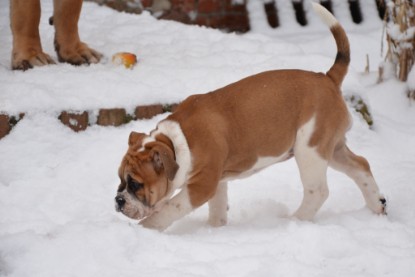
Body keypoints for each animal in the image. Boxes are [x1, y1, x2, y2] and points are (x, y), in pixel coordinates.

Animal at [114, 3, 386, 230]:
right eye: (120, 179)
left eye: (135, 183)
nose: (118, 200)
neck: (176, 143)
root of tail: (327, 78)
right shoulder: (217, 180)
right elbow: (218, 209)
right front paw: (215, 229)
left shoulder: (201, 185)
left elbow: (170, 207)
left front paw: (148, 230)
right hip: (332, 147)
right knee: (361, 165)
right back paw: (377, 206)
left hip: (310, 149)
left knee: (318, 191)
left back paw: (295, 220)